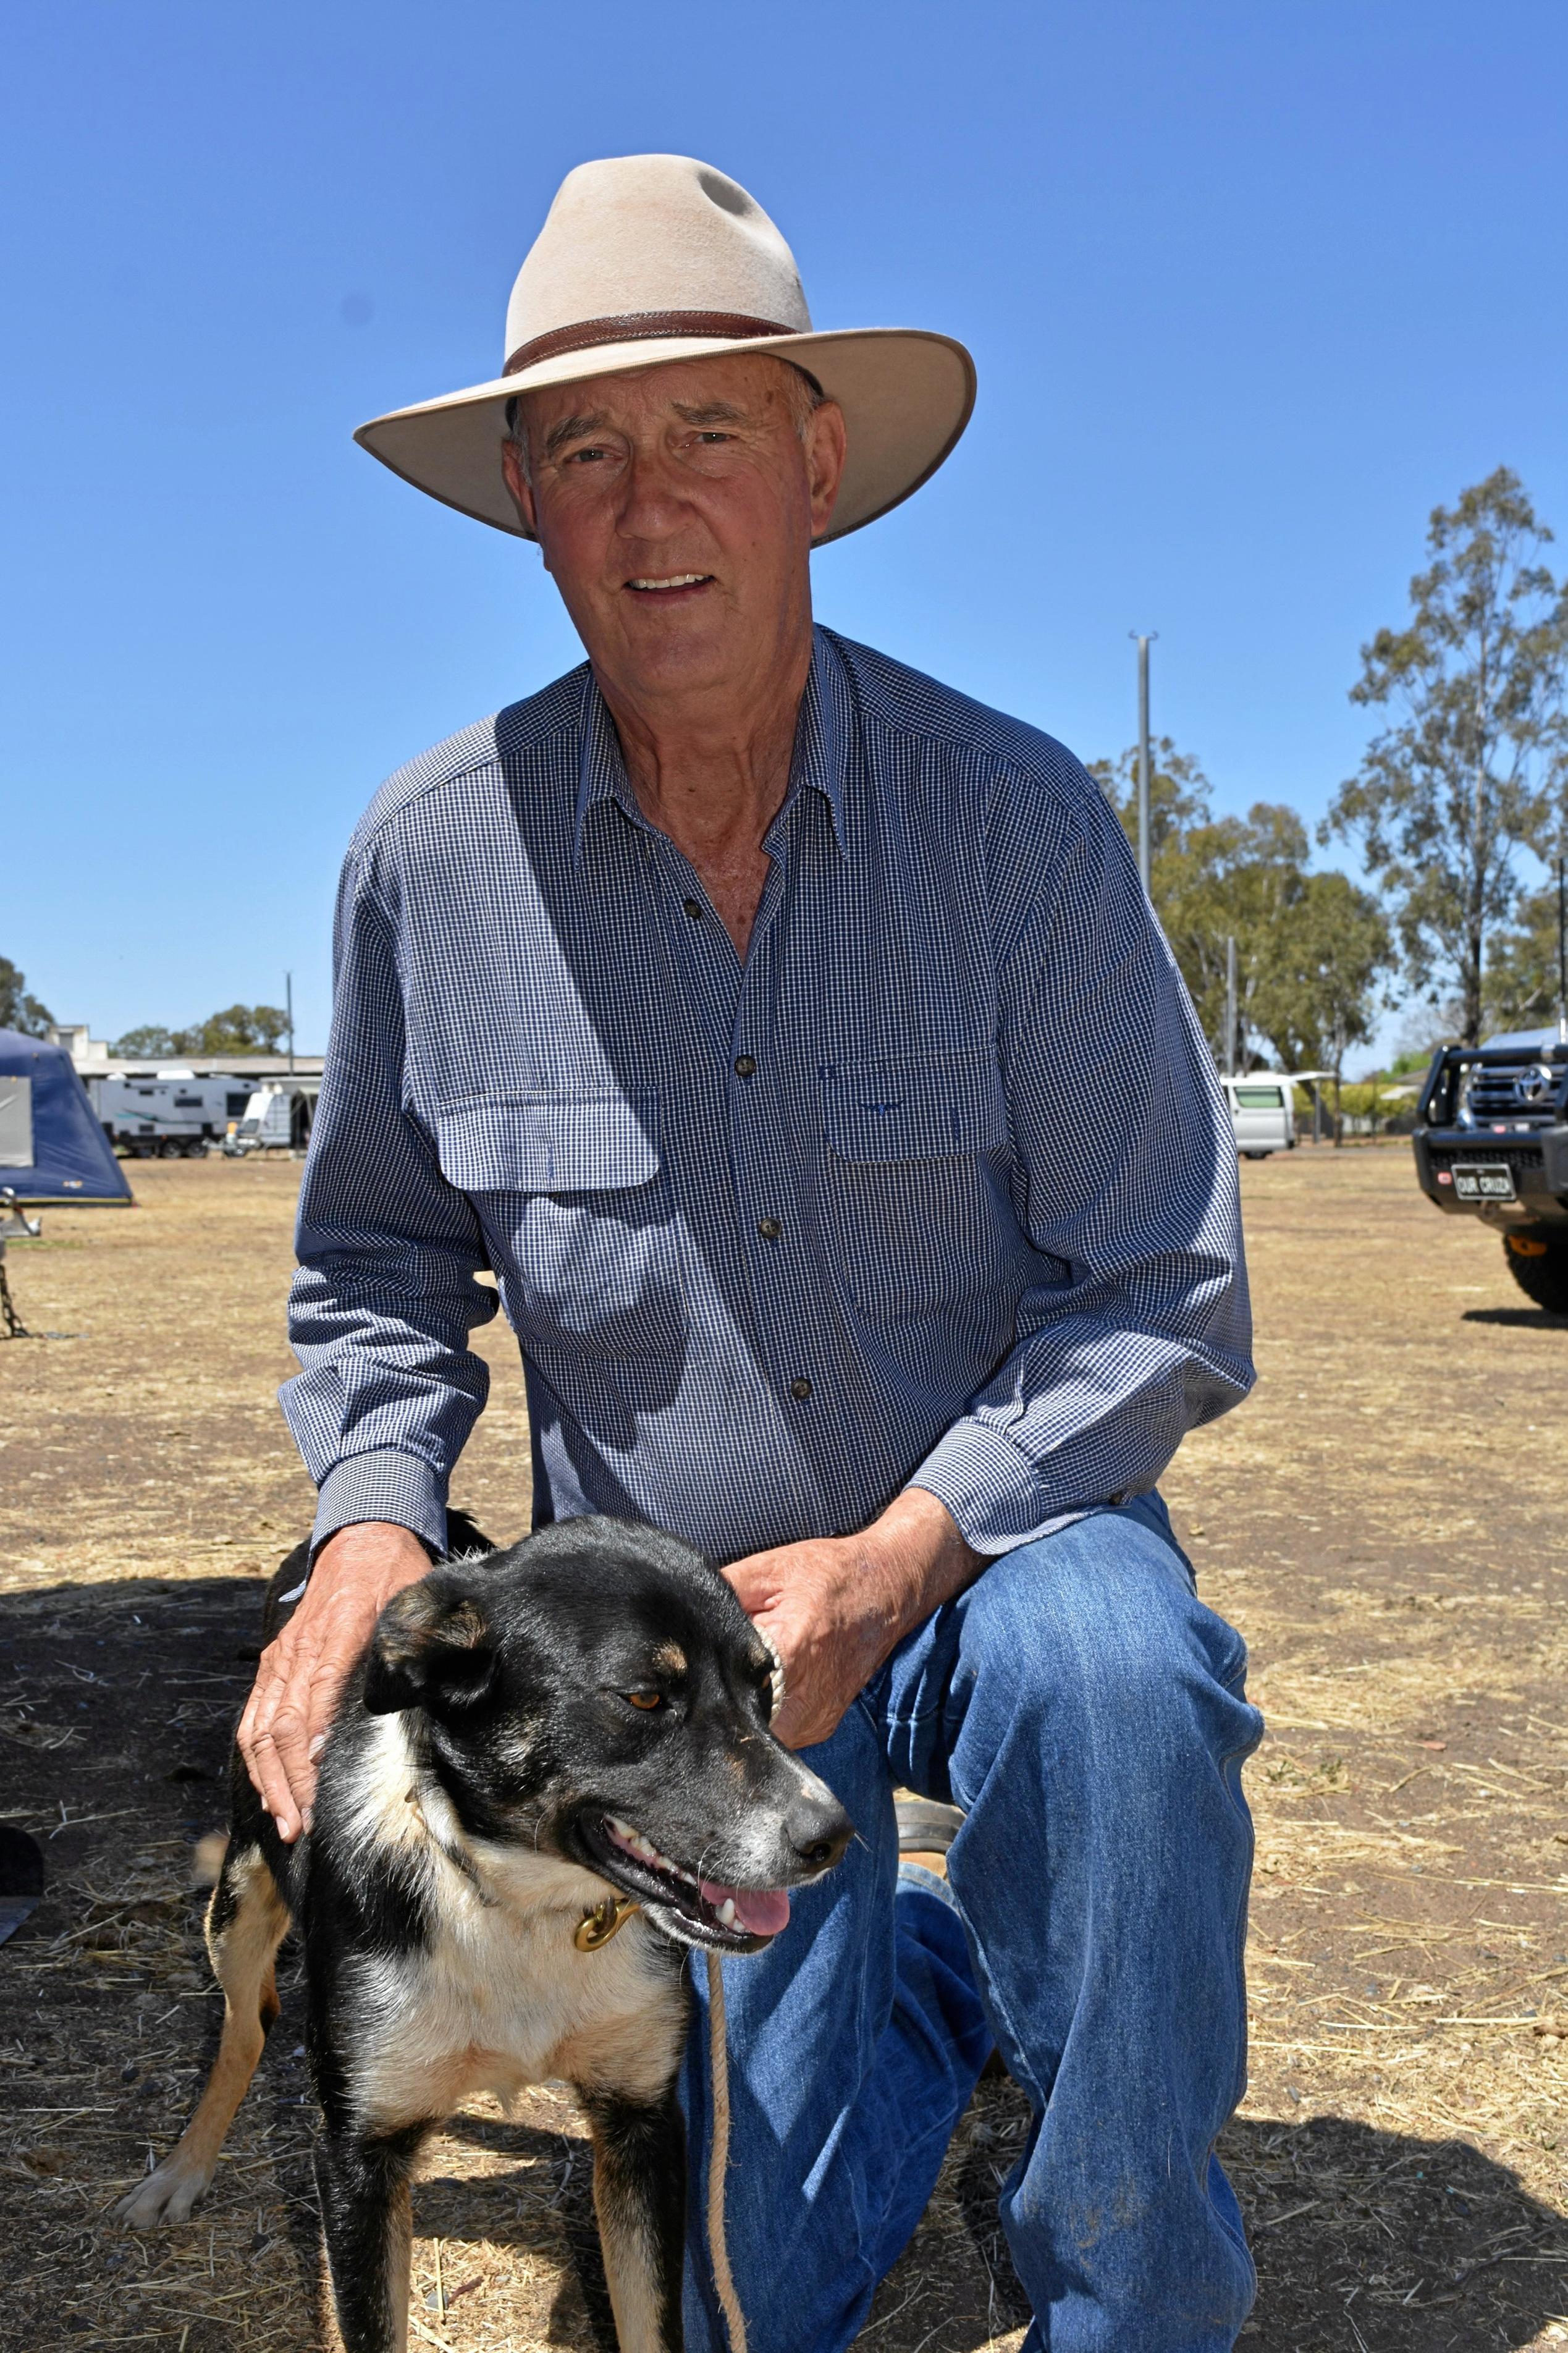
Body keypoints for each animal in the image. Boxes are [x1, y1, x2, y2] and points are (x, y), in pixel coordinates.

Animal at [116, 1515, 847, 2343]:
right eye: (646, 1695)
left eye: (766, 1685)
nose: (832, 1835)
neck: (514, 1900)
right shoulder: (358, 2159)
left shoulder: (641, 2125)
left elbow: (647, 2324)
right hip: (240, 1896)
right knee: (246, 2024)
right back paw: (183, 2169)